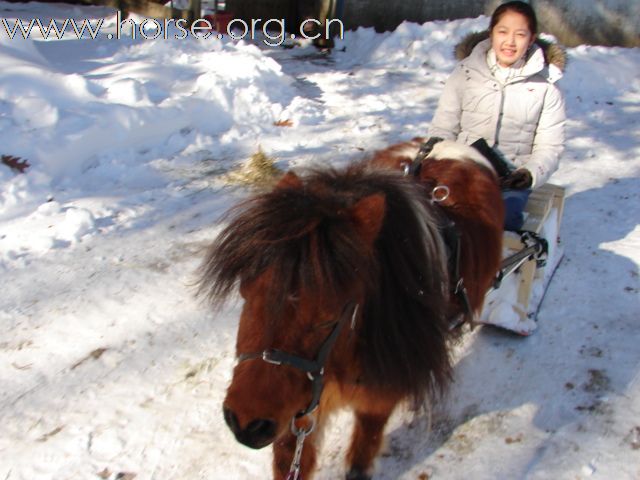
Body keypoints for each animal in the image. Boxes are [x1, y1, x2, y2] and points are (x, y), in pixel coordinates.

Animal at [199, 140, 504, 480]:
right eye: (247, 288)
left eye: (330, 314)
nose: (247, 423)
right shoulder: (299, 413)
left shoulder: (376, 402)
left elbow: (360, 460)